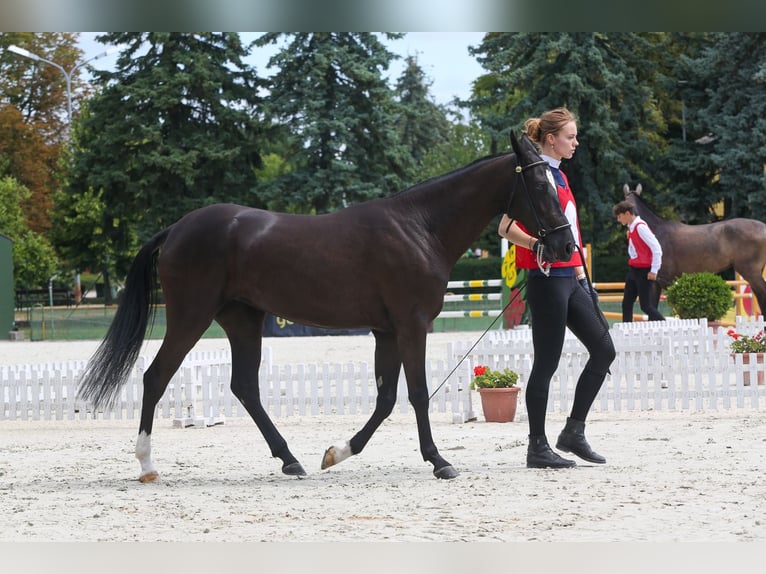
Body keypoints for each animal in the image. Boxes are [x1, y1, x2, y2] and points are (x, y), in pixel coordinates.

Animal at [76, 134, 576, 482]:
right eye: (539, 182)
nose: (565, 245)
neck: (419, 228)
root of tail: (177, 229)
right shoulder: (411, 325)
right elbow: (416, 394)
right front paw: (439, 461)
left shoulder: (386, 331)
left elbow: (386, 398)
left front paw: (338, 453)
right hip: (191, 316)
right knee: (156, 377)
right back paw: (146, 465)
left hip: (242, 320)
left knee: (245, 387)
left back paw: (290, 460)